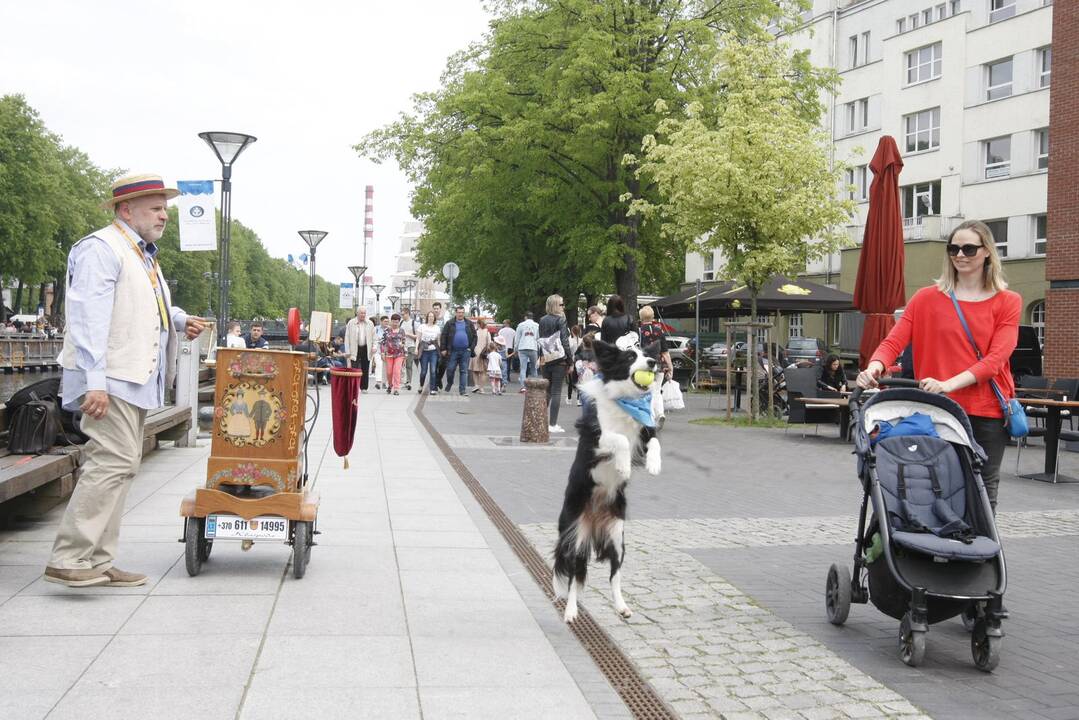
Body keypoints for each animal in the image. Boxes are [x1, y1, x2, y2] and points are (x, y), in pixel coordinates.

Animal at [552, 341, 660, 621]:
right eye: (630, 356)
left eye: (647, 354)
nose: (653, 362)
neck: (626, 402)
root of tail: (594, 522)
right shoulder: (598, 437)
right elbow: (619, 439)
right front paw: (623, 466)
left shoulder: (646, 431)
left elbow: (655, 441)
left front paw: (654, 465)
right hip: (575, 538)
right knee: (574, 578)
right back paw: (571, 612)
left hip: (617, 538)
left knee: (614, 576)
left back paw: (621, 606)